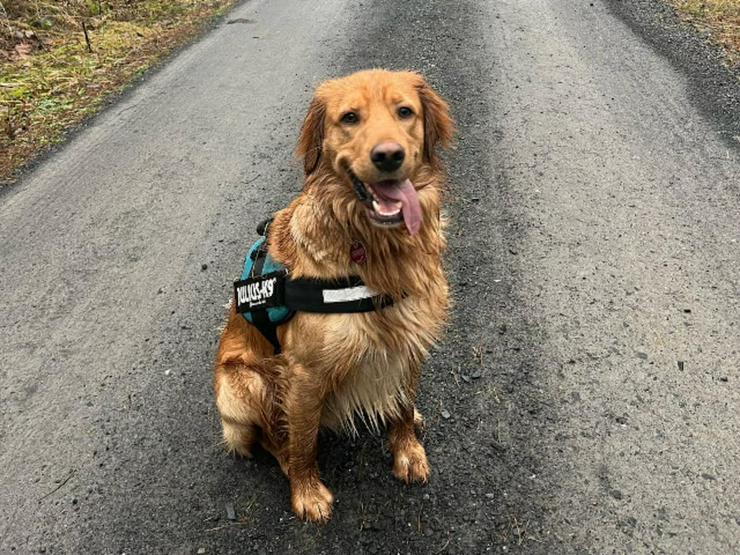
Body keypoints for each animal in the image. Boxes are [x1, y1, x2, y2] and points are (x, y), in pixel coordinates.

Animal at [214, 67, 454, 524]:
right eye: (349, 118)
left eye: (404, 112)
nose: (388, 156)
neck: (370, 245)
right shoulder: (305, 372)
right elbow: (303, 440)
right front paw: (307, 492)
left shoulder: (408, 336)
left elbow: (401, 405)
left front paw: (407, 451)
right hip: (243, 384)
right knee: (272, 438)